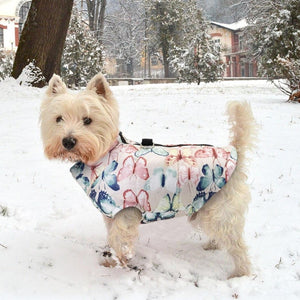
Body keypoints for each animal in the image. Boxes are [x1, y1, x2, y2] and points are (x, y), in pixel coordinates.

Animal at [39, 72, 255, 278]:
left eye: (87, 120)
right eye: (58, 119)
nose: (68, 141)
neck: (105, 153)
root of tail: (234, 152)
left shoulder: (125, 210)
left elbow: (118, 237)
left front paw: (122, 259)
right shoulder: (110, 212)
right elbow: (110, 235)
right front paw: (112, 260)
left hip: (220, 210)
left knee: (237, 245)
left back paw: (240, 272)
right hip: (205, 206)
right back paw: (213, 245)